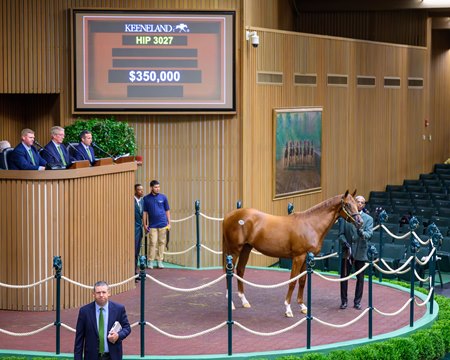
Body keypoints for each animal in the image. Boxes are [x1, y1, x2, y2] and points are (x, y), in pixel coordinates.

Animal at [223, 190, 364, 316]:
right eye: (347, 204)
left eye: (356, 204)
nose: (360, 222)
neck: (310, 224)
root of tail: (229, 215)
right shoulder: (298, 257)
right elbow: (292, 281)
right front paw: (288, 309)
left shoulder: (307, 258)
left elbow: (302, 281)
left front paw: (302, 306)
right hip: (234, 250)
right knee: (229, 271)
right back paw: (231, 303)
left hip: (246, 248)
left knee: (240, 270)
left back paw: (244, 301)